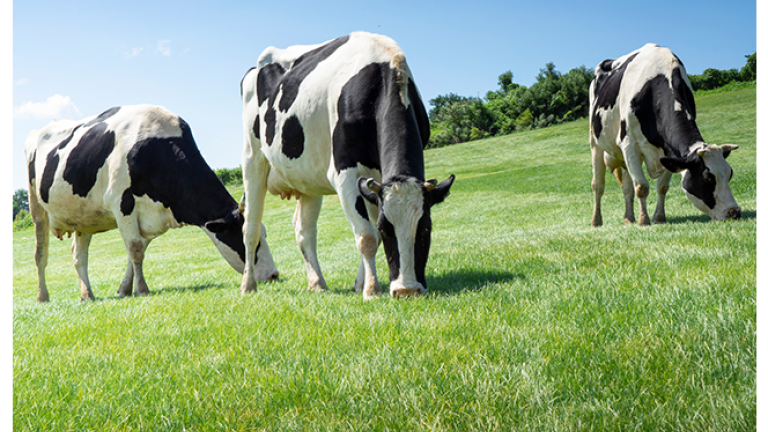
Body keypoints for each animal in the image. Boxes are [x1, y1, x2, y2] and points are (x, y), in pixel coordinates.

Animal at [25, 104, 278, 302]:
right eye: (249, 240)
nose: (274, 275)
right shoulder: (122, 202)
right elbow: (135, 249)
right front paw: (142, 289)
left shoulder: (150, 215)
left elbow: (135, 251)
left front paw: (125, 289)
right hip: (36, 206)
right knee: (40, 254)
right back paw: (42, 296)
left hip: (82, 216)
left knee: (79, 256)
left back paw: (87, 294)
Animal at [239, 32, 455, 300]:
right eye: (386, 228)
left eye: (426, 228)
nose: (406, 290)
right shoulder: (344, 173)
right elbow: (367, 235)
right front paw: (371, 290)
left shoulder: (375, 181)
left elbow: (370, 232)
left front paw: (361, 284)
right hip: (252, 158)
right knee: (251, 228)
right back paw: (248, 285)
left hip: (308, 177)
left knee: (304, 231)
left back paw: (317, 283)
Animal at [589, 43, 740, 227]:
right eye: (707, 179)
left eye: (730, 173)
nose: (734, 212)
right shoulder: (628, 143)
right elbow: (642, 187)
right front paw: (644, 220)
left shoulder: (669, 152)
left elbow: (661, 187)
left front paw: (659, 218)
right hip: (595, 141)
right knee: (598, 185)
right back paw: (596, 220)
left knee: (627, 187)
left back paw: (628, 218)